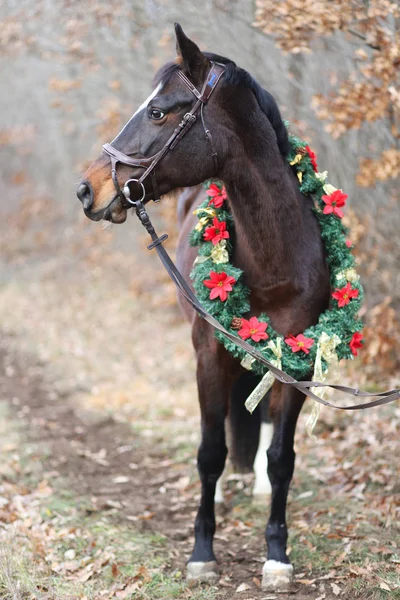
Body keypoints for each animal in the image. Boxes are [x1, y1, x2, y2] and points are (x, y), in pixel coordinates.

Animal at [76, 23, 330, 592]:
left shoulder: (298, 362)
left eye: (158, 111)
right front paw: (202, 553)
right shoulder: (208, 355)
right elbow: (210, 453)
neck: (276, 260)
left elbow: (282, 458)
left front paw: (276, 555)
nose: (87, 188)